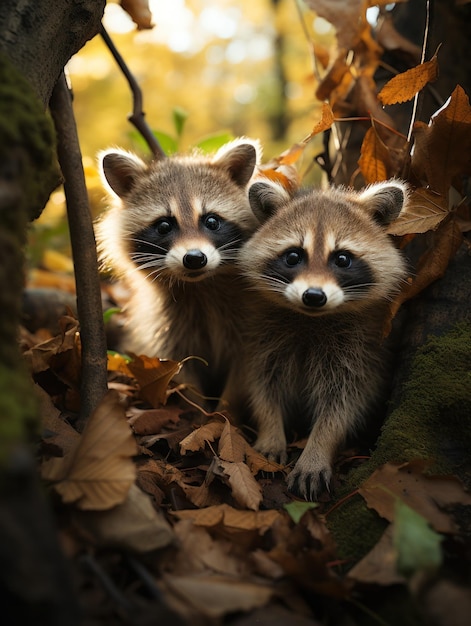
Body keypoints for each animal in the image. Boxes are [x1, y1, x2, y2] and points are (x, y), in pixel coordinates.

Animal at [96, 137, 262, 400]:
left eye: (212, 221)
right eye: (164, 225)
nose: (194, 258)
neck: (201, 287)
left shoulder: (248, 322)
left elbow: (241, 375)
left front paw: (225, 408)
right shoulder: (167, 327)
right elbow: (180, 372)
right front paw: (196, 406)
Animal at [240, 179, 410, 498]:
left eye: (342, 259)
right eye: (293, 256)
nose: (314, 296)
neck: (312, 318)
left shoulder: (363, 348)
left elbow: (345, 402)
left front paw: (318, 449)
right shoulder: (265, 335)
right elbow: (262, 383)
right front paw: (270, 430)